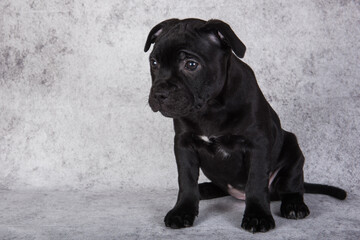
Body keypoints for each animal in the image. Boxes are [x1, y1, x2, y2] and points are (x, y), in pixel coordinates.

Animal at [143, 18, 346, 232]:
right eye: (154, 63)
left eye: (191, 64)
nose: (159, 93)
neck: (210, 107)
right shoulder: (184, 145)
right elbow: (186, 181)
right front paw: (182, 210)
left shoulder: (257, 144)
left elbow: (256, 182)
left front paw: (257, 216)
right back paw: (204, 189)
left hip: (293, 149)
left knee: (292, 186)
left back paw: (294, 205)